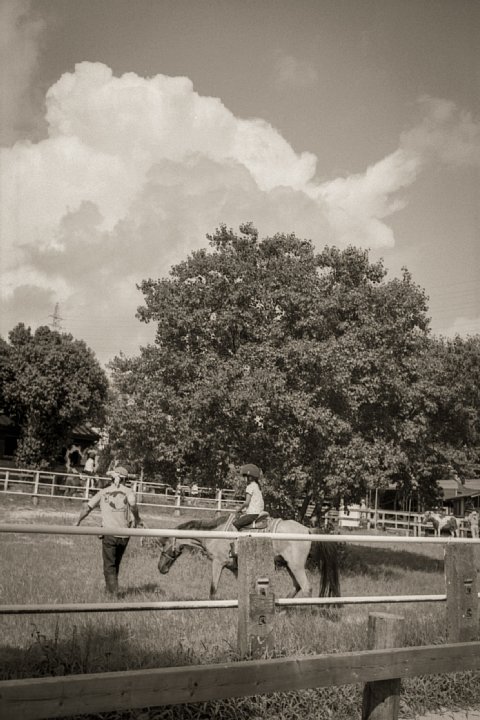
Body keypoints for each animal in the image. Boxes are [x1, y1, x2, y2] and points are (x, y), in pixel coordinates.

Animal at [156, 516, 340, 600]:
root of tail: (308, 529)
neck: (214, 534)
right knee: (297, 586)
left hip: (296, 566)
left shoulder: (218, 563)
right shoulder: (236, 568)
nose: (160, 568)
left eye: (164, 546)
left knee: (306, 588)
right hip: (289, 565)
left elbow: (213, 588)